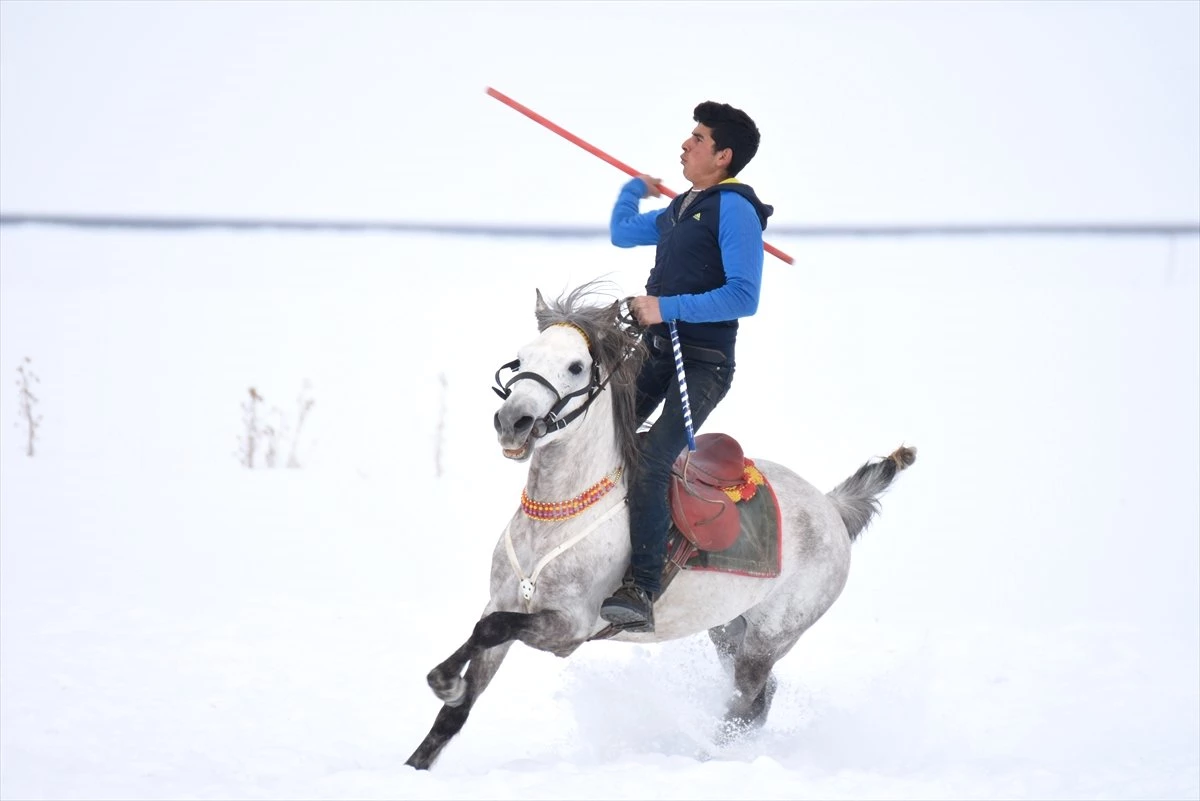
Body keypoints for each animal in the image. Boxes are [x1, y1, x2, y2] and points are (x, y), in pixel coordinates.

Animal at [408, 284, 912, 767]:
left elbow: (491, 629)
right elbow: (463, 690)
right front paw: (421, 751)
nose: (514, 421)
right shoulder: (503, 600)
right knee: (759, 699)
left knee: (746, 703)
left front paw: (443, 680)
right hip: (728, 630)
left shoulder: (568, 627)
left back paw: (710, 759)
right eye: (522, 358)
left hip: (769, 639)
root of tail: (832, 506)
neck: (556, 517)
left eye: (575, 366)